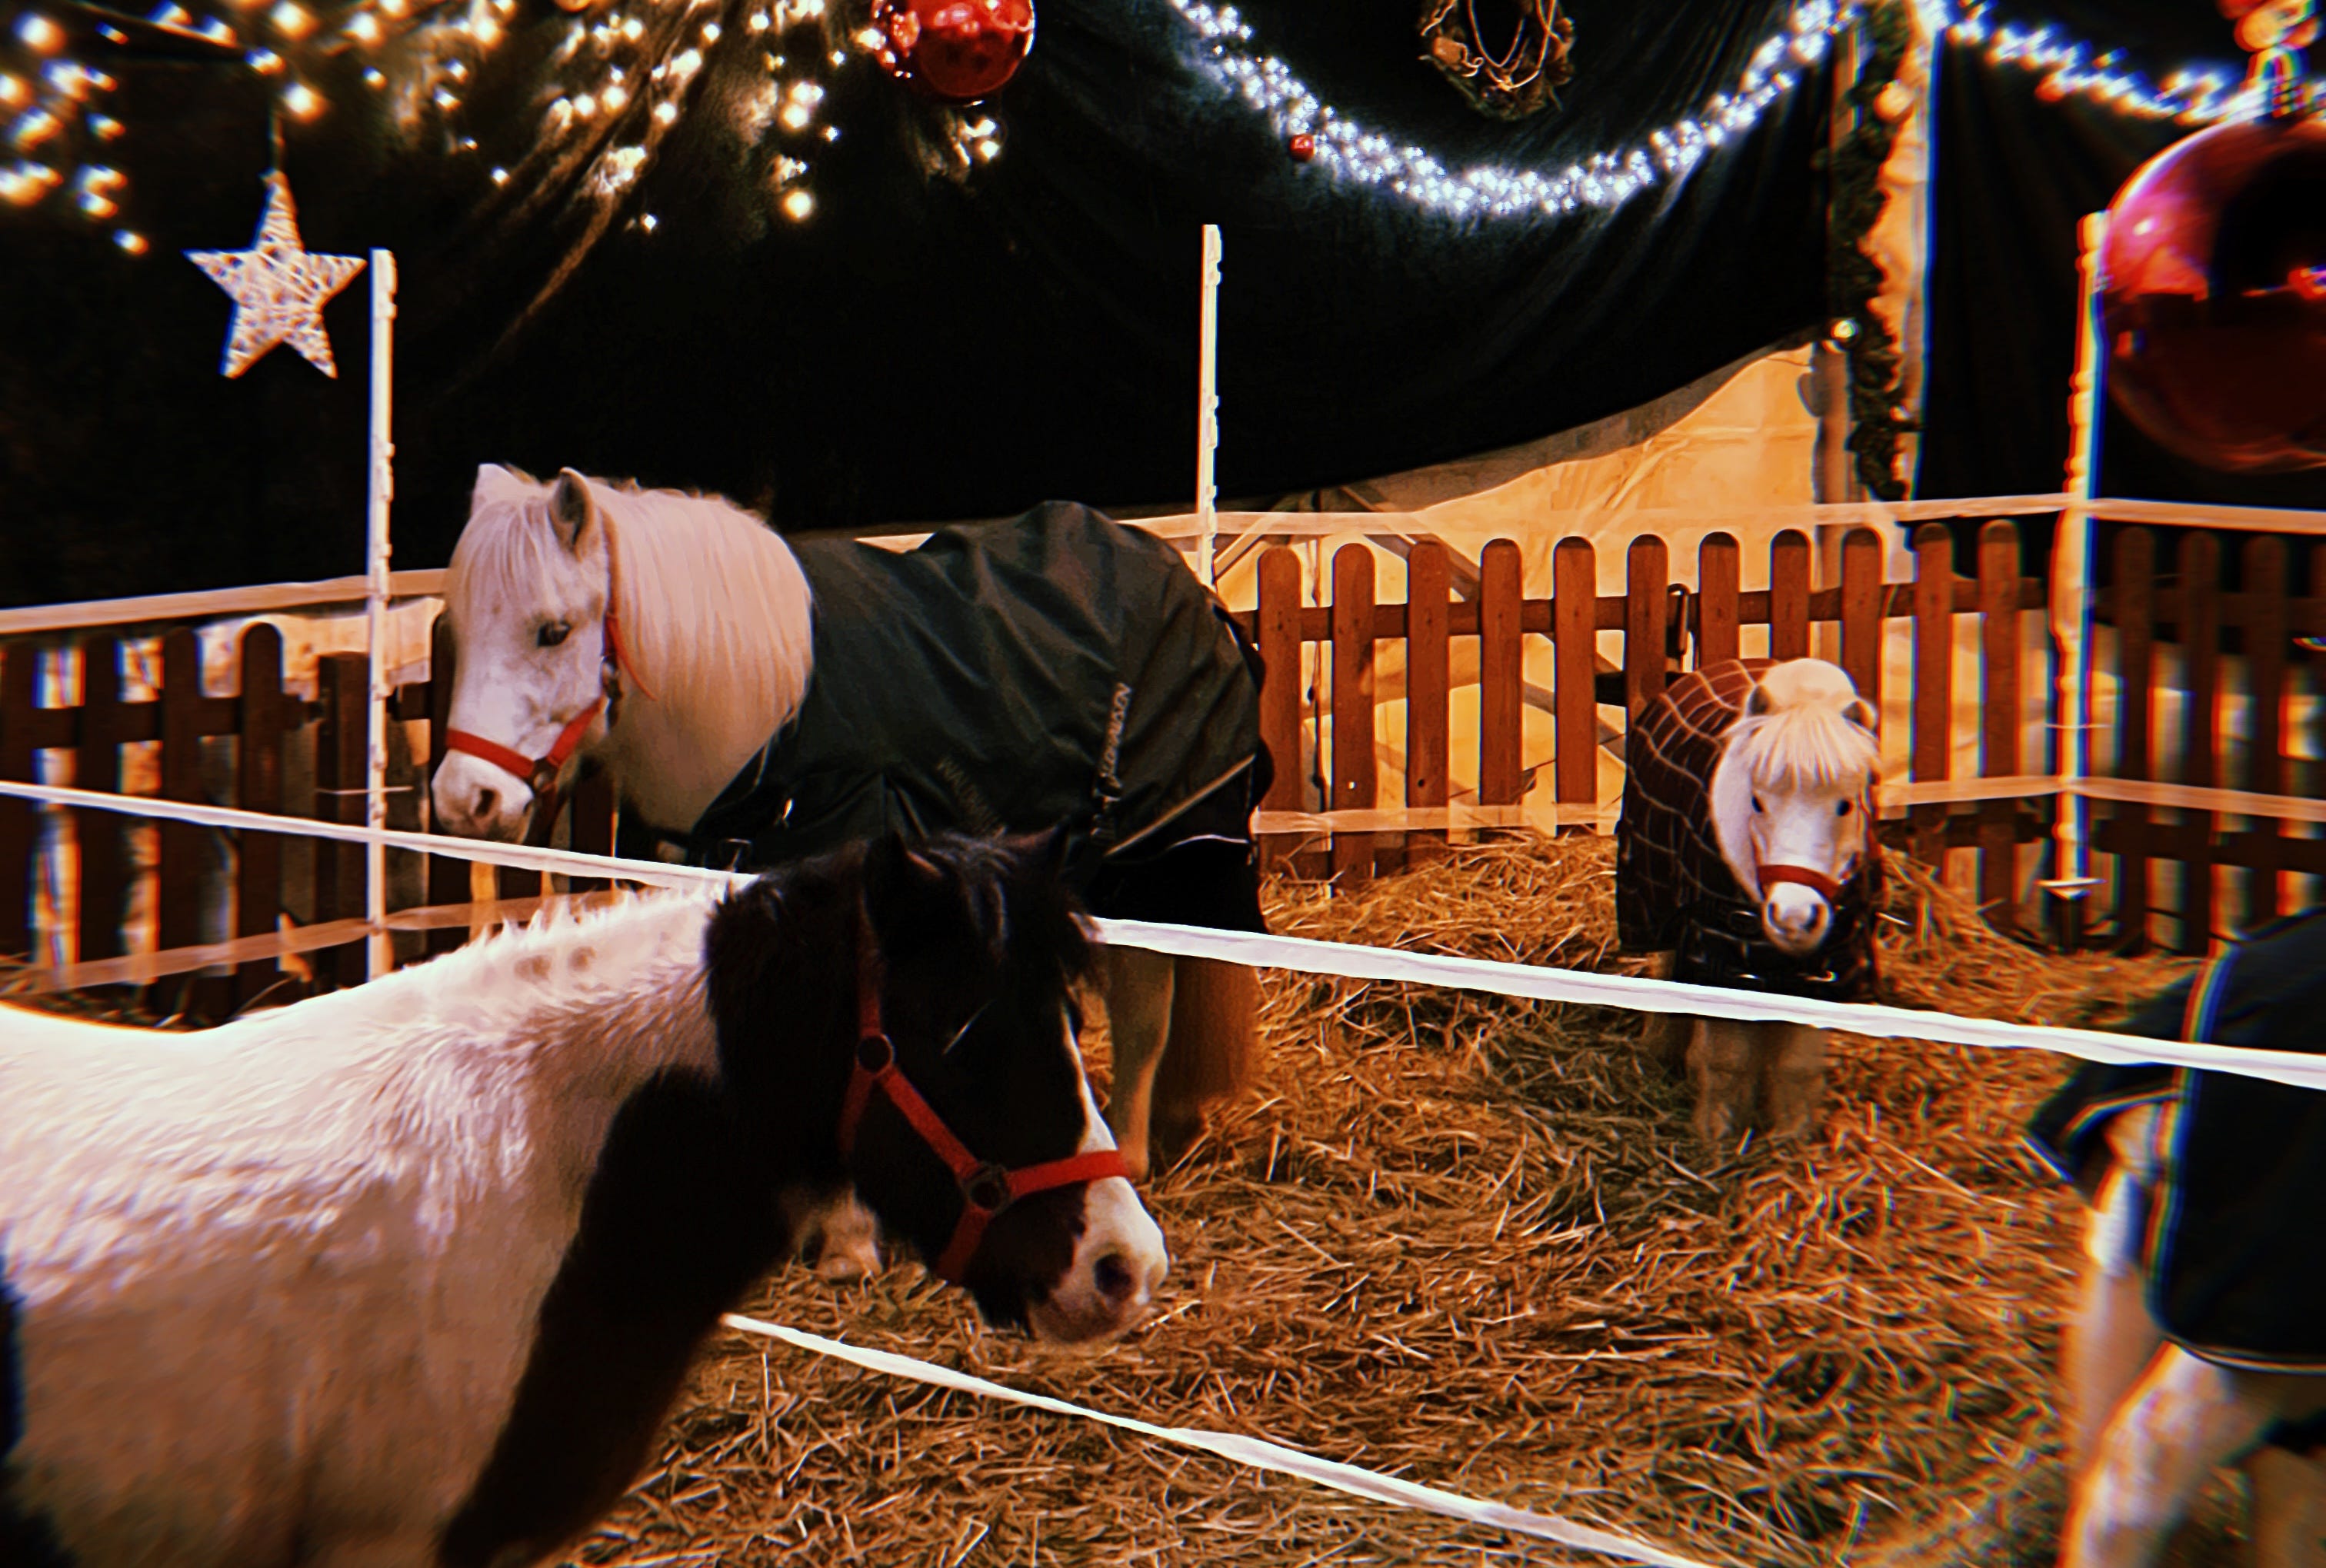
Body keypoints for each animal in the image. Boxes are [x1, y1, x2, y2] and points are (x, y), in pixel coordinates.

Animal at [427, 465, 1269, 1207]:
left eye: (553, 631)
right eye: (460, 630)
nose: (466, 800)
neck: (765, 720)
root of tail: (1193, 588)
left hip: (1157, 859)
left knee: (1145, 1010)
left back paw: (1132, 1152)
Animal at [1615, 657, 1883, 1148]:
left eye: (1847, 804)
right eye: (1756, 801)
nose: (1794, 918)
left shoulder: (1826, 964)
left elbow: (1798, 1064)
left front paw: (1791, 1137)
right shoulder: (1716, 950)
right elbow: (1728, 1058)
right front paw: (1717, 1136)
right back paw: (1659, 1053)